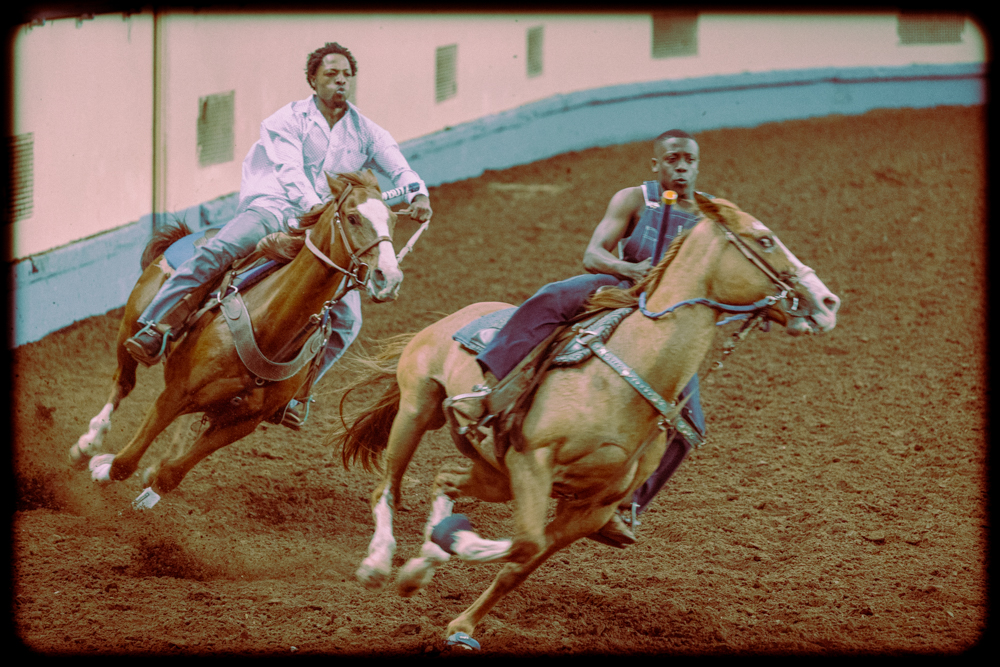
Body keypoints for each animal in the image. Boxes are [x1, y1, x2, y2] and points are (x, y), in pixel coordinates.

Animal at [70, 171, 402, 506]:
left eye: (392, 219)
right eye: (352, 217)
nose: (389, 277)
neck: (270, 328)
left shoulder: (242, 423)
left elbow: (171, 475)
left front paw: (150, 479)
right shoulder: (175, 394)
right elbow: (126, 461)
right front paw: (101, 467)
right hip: (129, 329)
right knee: (123, 382)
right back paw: (87, 444)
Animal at [332, 192, 840, 648]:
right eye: (765, 239)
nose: (828, 300)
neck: (625, 373)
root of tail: (454, 317)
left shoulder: (589, 506)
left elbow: (522, 562)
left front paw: (461, 625)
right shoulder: (534, 464)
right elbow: (526, 542)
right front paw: (449, 560)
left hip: (495, 471)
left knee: (445, 479)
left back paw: (419, 567)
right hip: (417, 410)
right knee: (387, 488)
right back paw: (378, 565)